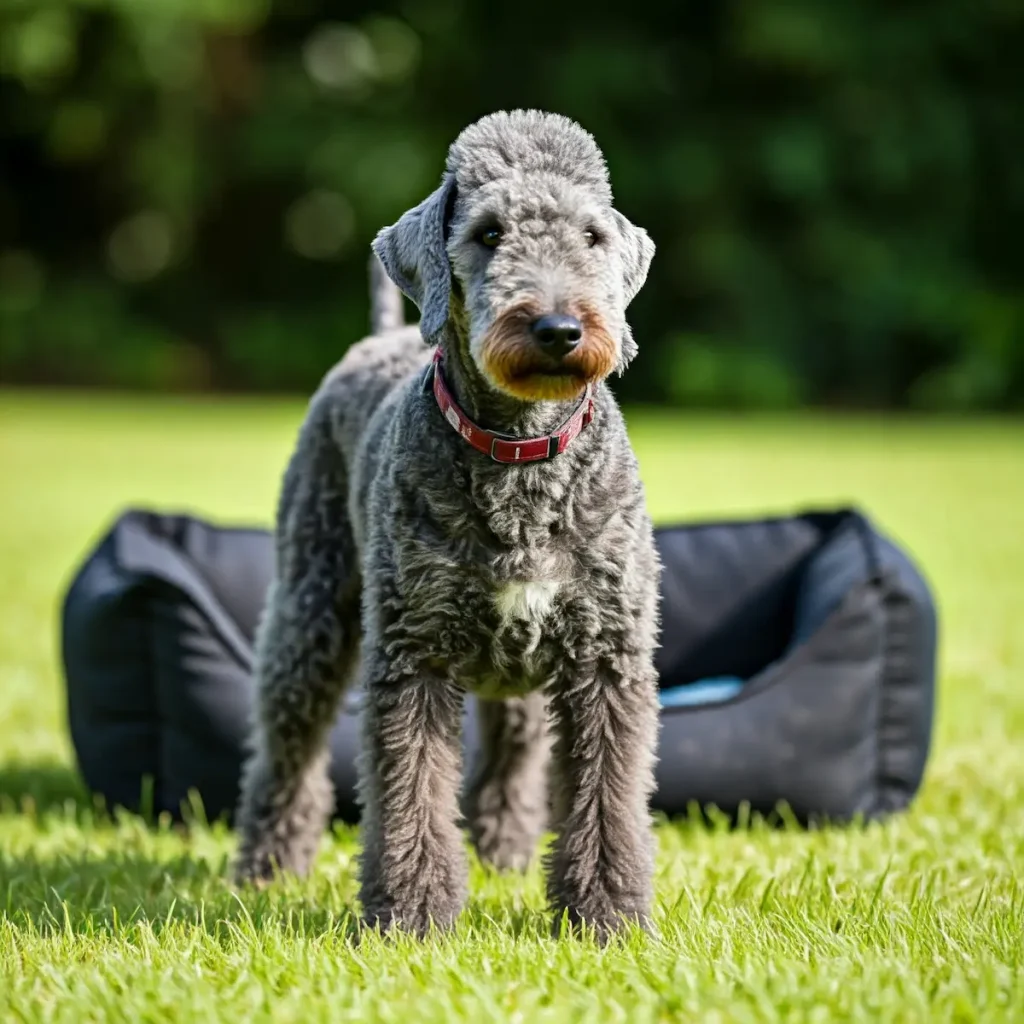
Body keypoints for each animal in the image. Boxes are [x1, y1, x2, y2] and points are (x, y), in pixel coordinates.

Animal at [234, 108, 659, 937]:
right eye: (489, 233)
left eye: (592, 235)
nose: (558, 328)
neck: (521, 455)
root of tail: (382, 334)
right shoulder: (414, 656)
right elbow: (412, 798)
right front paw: (412, 918)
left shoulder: (605, 658)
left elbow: (607, 799)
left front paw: (606, 919)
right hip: (311, 616)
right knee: (286, 751)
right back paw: (266, 868)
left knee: (512, 759)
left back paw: (507, 854)